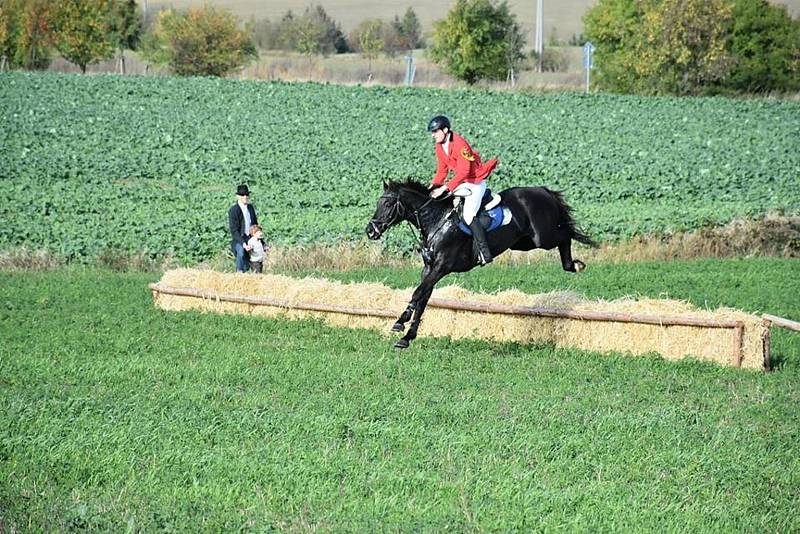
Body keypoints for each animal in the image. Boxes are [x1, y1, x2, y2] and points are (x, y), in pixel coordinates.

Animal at [366, 178, 596, 350]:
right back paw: (573, 265)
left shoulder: (441, 267)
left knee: (566, 234)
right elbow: (423, 298)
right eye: (378, 203)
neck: (437, 221)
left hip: (542, 237)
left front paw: (400, 321)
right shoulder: (429, 269)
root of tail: (543, 190)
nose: (370, 231)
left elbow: (417, 293)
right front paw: (407, 337)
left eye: (387, 204)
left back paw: (575, 264)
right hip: (524, 243)